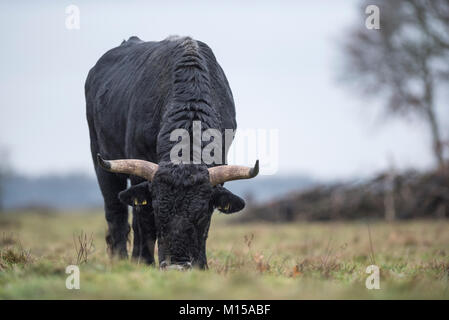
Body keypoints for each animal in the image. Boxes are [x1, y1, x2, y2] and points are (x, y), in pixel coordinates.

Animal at [85, 36, 258, 268]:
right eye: (159, 212)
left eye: (201, 215)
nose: (177, 266)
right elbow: (144, 221)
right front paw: (144, 261)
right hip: (102, 161)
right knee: (116, 213)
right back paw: (120, 260)